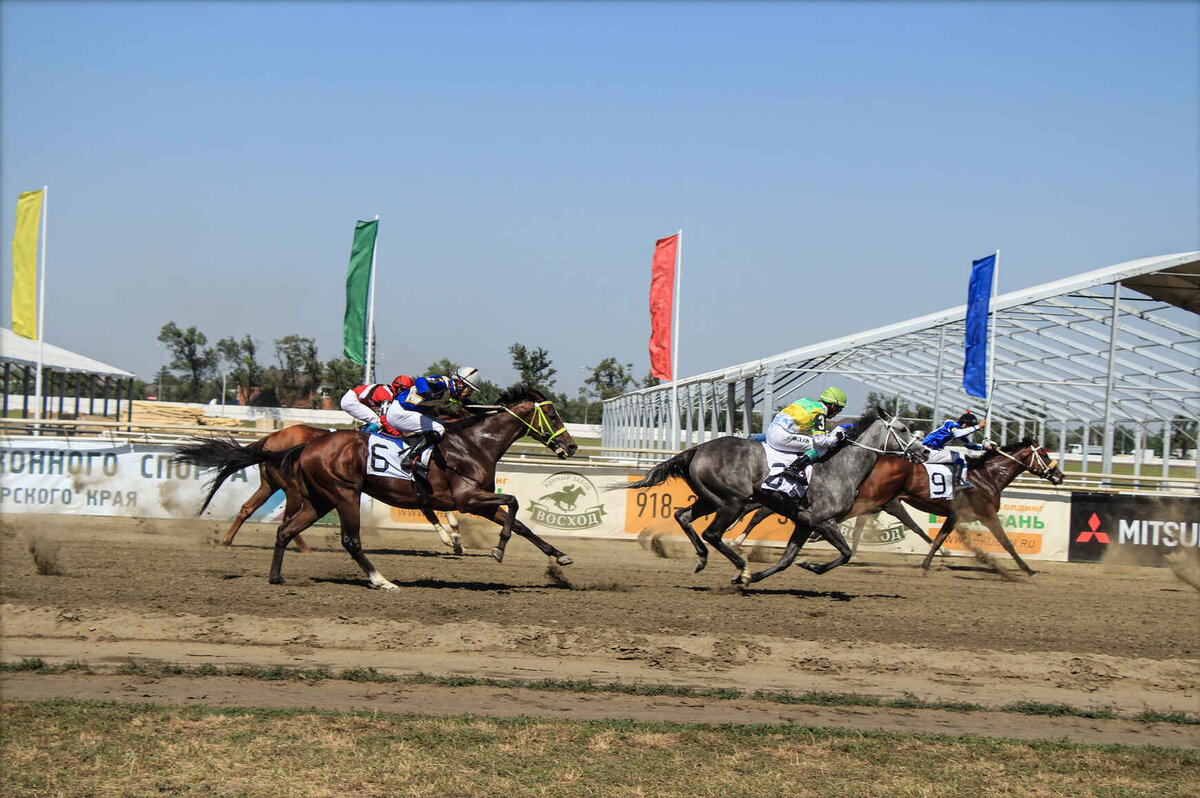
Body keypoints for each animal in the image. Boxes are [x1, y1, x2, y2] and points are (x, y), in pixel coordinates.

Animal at [220, 422, 463, 554]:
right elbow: (432, 508)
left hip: (269, 484)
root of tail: (272, 436)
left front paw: (455, 536)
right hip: (293, 489)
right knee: (288, 516)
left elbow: (436, 506)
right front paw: (452, 537)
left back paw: (227, 541)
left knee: (248, 508)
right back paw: (304, 548)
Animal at [624, 408, 921, 583]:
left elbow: (786, 561)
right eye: (903, 429)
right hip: (732, 501)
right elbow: (846, 553)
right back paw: (739, 565)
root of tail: (697, 449)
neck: (841, 467)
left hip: (709, 499)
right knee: (712, 533)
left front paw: (755, 577)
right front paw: (810, 566)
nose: (924, 451)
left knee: (683, 516)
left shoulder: (805, 522)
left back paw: (703, 559)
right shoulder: (823, 520)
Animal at [729, 439, 1060, 576]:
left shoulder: (954, 514)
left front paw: (929, 562)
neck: (987, 476)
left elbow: (938, 537)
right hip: (874, 498)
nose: (1058, 475)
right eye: (1044, 454)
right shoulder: (986, 513)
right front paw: (1028, 569)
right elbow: (1006, 542)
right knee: (763, 509)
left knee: (763, 507)